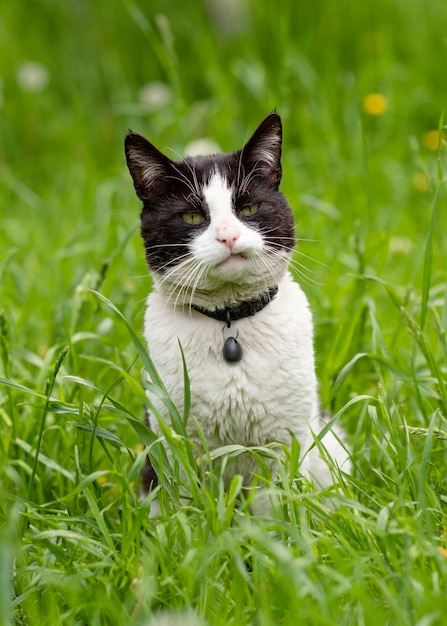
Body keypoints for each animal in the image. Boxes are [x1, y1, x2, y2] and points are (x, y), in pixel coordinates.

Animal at [124, 114, 352, 516]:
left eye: (247, 209)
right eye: (192, 215)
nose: (228, 236)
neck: (230, 322)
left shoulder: (285, 440)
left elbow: (274, 510)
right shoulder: (176, 440)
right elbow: (189, 512)